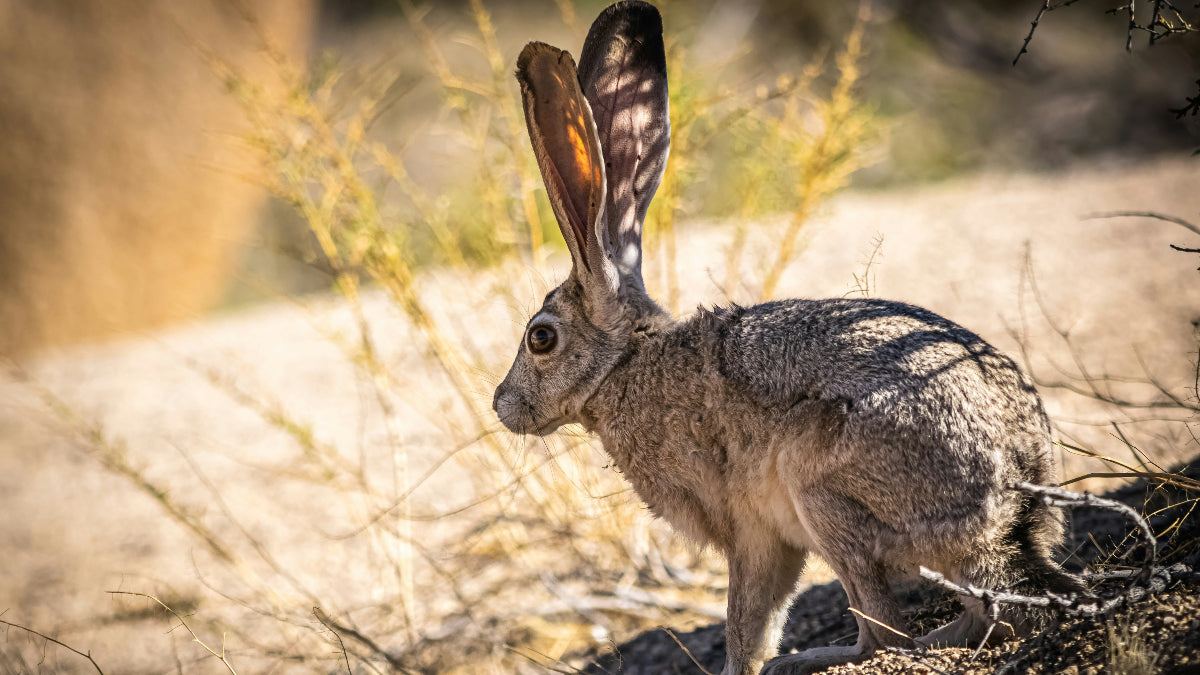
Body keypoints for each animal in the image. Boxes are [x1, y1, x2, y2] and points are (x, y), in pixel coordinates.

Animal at [492, 2, 1085, 673]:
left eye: (540, 339)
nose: (502, 405)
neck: (627, 364)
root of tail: (1013, 495)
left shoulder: (750, 530)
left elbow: (745, 624)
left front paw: (742, 668)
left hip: (820, 489)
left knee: (891, 633)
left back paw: (815, 657)